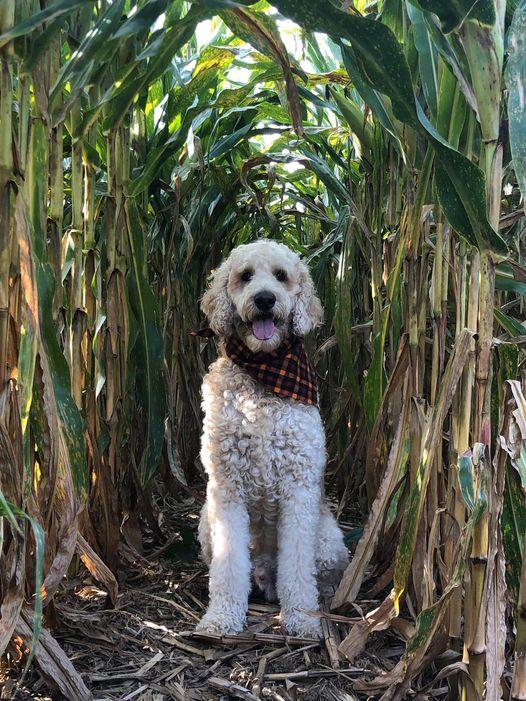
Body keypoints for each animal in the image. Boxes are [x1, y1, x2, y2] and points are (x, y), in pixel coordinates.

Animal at [196, 241, 348, 640]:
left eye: (281, 276)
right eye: (245, 275)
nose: (264, 299)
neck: (267, 376)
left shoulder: (299, 487)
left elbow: (297, 566)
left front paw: (302, 618)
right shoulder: (226, 488)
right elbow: (228, 567)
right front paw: (222, 617)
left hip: (329, 540)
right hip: (205, 523)